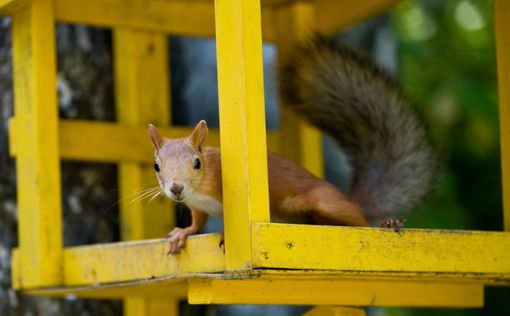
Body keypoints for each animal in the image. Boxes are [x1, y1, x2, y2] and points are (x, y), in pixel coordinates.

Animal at [149, 35, 436, 254]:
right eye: (156, 166)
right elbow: (198, 221)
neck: (199, 192)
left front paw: (223, 233)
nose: (176, 188)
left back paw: (387, 224)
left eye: (197, 163)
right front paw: (183, 233)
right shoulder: (196, 206)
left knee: (360, 222)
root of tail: (346, 197)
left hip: (322, 201)